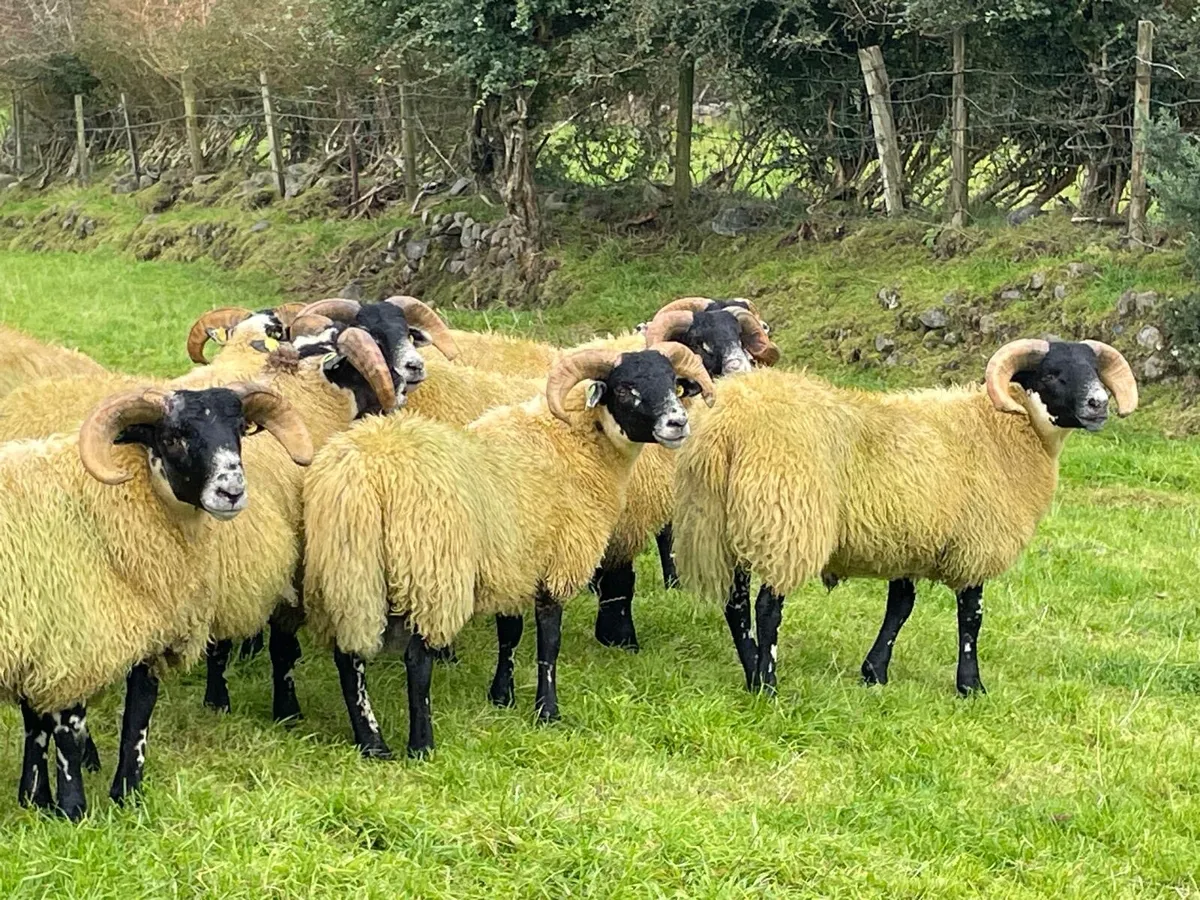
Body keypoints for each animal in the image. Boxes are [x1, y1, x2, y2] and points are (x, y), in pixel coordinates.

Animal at [0, 381, 313, 820]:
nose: (231, 491)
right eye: (173, 438)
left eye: (239, 430)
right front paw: (72, 811)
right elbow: (67, 737)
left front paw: (119, 797)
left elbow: (135, 722)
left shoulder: (132, 641)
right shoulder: (70, 645)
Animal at [302, 342, 715, 758]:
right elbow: (549, 644)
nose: (678, 423)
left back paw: (372, 743)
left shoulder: (514, 563)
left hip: (347, 569)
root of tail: (367, 474)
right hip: (430, 572)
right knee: (416, 661)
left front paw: (501, 696)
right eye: (626, 388)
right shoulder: (556, 562)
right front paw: (547, 711)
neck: (575, 443)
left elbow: (509, 635)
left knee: (348, 657)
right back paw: (422, 745)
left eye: (673, 382)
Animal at [673, 338, 1138, 697]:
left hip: (717, 525)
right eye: (1053, 374)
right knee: (768, 608)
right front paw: (971, 686)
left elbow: (900, 607)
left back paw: (752, 673)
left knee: (735, 606)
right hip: (786, 521)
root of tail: (728, 425)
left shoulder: (908, 540)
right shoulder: (975, 543)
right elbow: (971, 618)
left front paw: (874, 672)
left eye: (1093, 370)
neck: (1006, 427)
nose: (1099, 404)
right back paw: (768, 685)